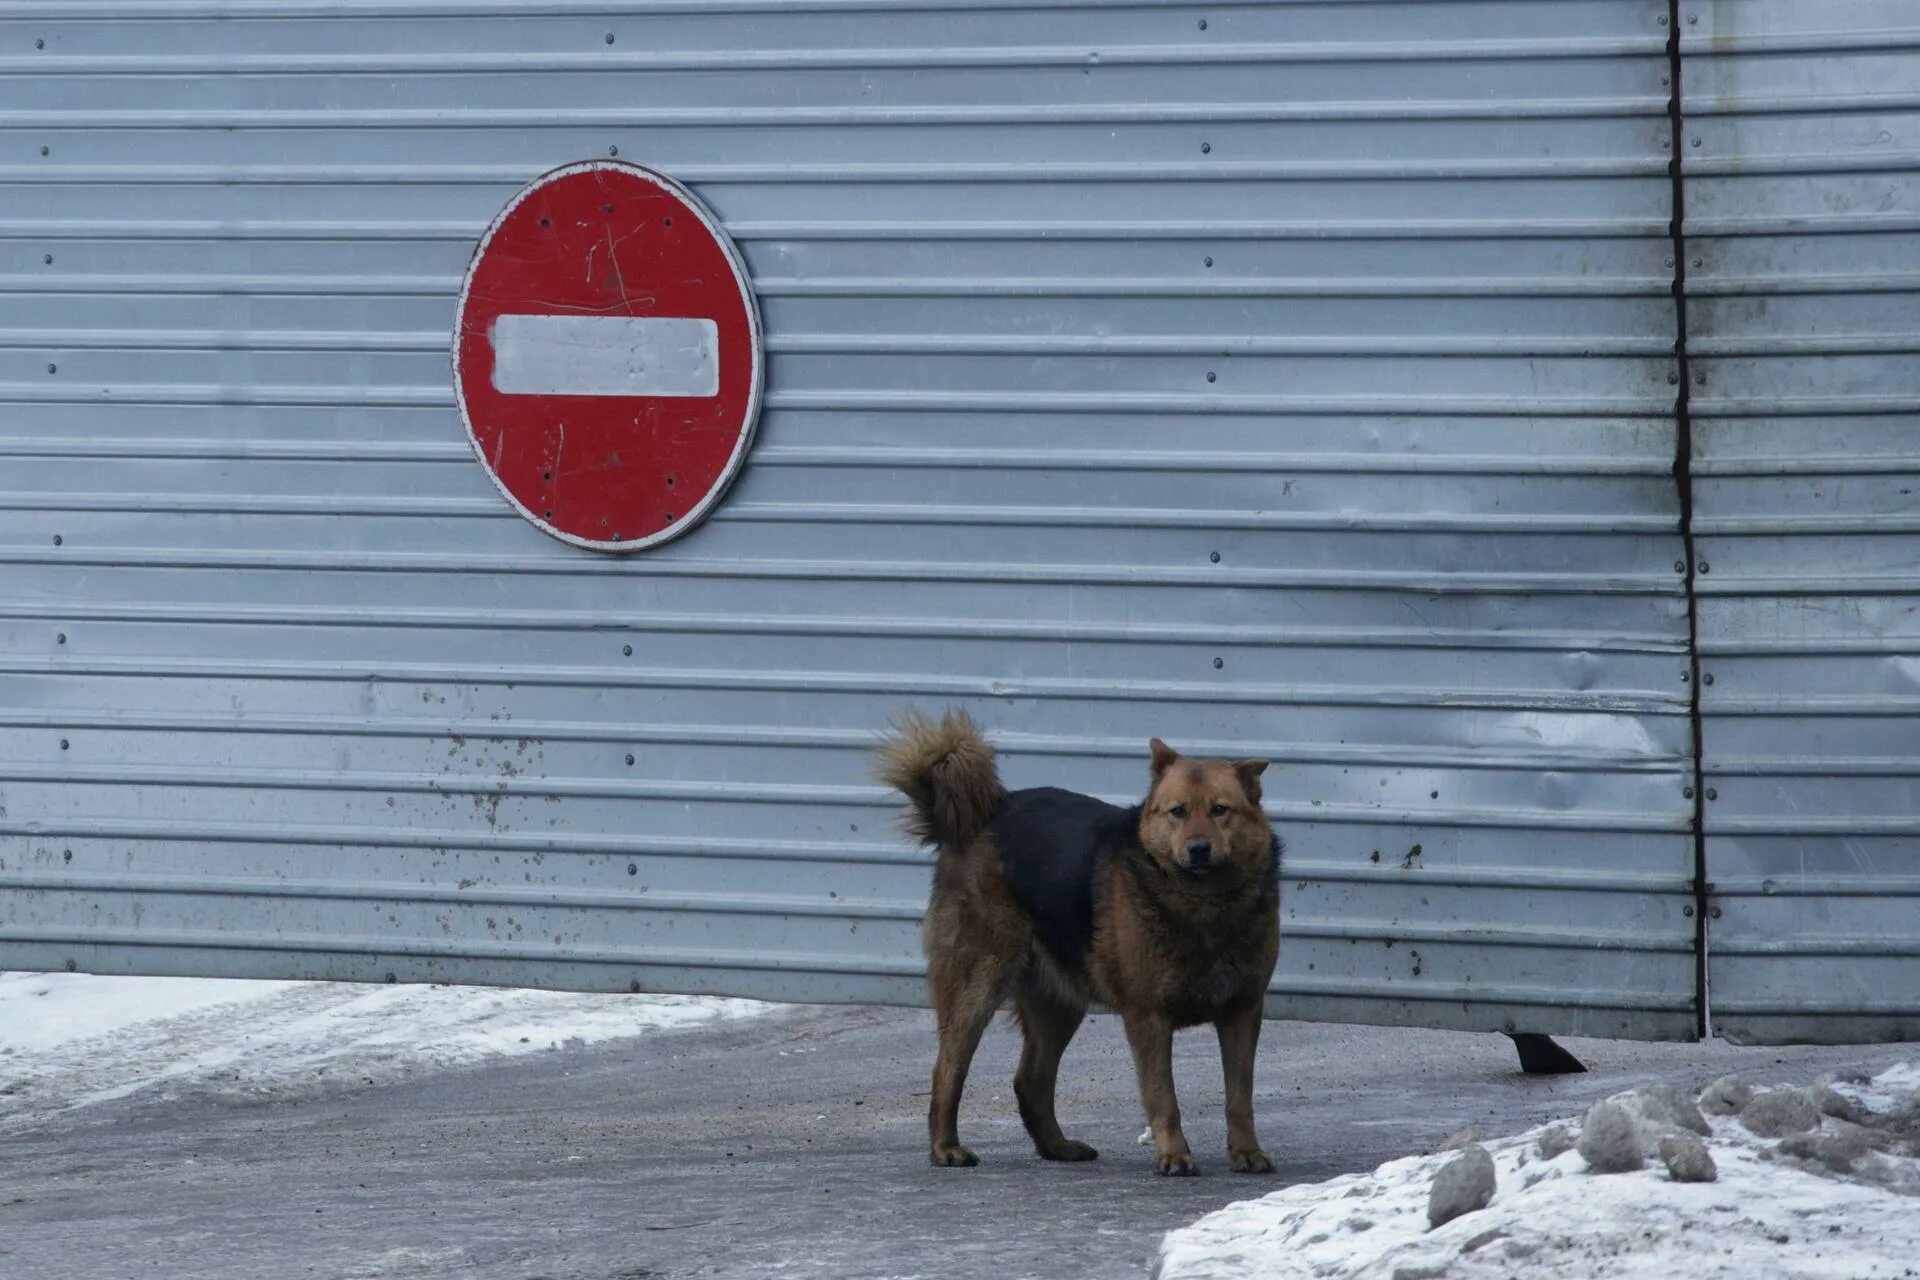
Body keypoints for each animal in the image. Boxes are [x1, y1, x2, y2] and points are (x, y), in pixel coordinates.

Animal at [879, 706, 1282, 1174]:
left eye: (1220, 810)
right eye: (1178, 812)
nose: (1198, 848)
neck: (1204, 905)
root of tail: (983, 815)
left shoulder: (1242, 1012)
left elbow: (1240, 1099)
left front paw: (1247, 1151)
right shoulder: (1148, 1017)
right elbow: (1164, 1098)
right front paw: (1174, 1155)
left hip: (1059, 1001)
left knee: (1030, 1080)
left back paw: (1057, 1146)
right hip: (976, 987)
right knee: (946, 1070)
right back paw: (945, 1148)